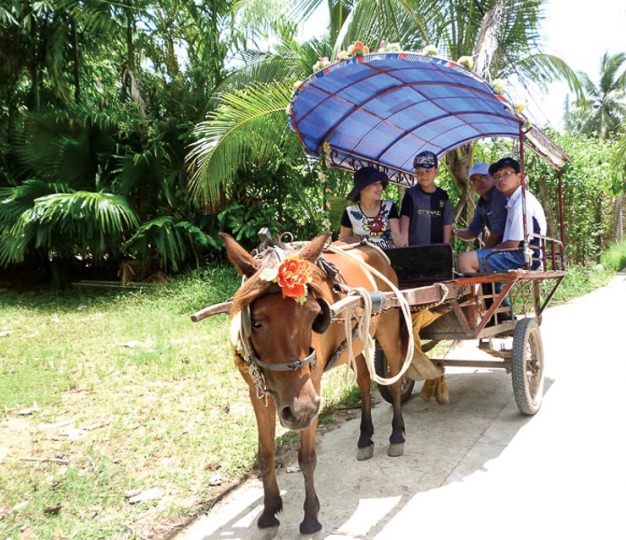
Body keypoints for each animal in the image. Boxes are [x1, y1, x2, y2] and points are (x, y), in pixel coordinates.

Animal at [217, 231, 408, 536]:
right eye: (256, 322)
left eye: (314, 315)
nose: (299, 410)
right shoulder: (257, 393)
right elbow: (265, 454)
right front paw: (269, 513)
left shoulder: (312, 390)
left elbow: (306, 457)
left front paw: (310, 517)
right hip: (356, 340)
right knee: (365, 382)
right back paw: (365, 437)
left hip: (388, 330)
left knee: (397, 377)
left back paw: (397, 435)